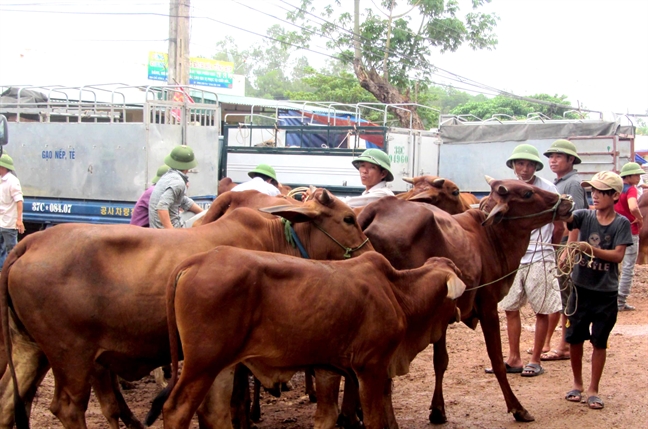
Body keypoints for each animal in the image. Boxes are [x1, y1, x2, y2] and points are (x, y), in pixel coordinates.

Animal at [0, 189, 372, 428]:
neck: (276, 238)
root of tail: (29, 243)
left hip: (32, 350)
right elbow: (234, 404)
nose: (371, 251)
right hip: (71, 355)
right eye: (348, 218)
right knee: (66, 407)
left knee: (8, 401)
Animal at [149, 246, 466, 428]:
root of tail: (196, 260)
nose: (460, 311)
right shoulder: (371, 367)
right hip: (202, 363)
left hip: (222, 366)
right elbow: (375, 420)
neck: (398, 293)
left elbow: (329, 416)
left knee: (214, 413)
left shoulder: (331, 368)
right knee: (176, 410)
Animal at [318, 175, 572, 424]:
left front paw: (438, 410)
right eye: (528, 193)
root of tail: (374, 209)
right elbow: (496, 360)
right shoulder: (488, 305)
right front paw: (517, 408)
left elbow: (440, 361)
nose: (567, 202)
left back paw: (349, 415)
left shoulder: (440, 314)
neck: (492, 238)